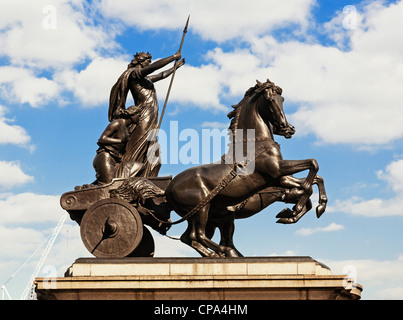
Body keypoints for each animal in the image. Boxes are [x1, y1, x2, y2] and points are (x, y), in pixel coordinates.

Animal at [166, 79, 326, 258]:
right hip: (203, 210)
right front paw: (296, 207)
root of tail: (168, 189)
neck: (255, 142)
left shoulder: (280, 178)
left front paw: (301, 210)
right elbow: (312, 166)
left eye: (282, 99)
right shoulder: (278, 170)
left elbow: (315, 180)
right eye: (270, 99)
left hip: (200, 215)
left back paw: (217, 254)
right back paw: (224, 252)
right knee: (198, 235)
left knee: (189, 237)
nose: (288, 128)